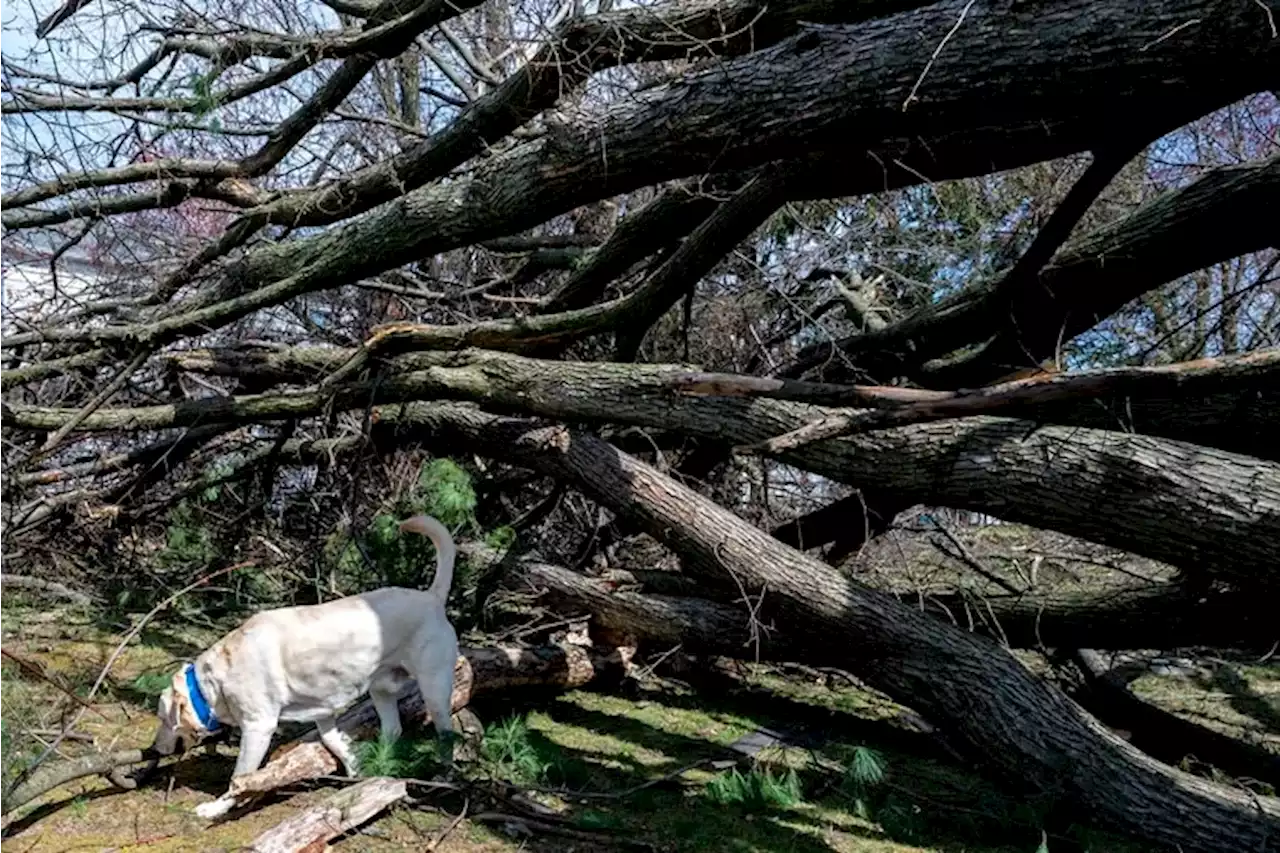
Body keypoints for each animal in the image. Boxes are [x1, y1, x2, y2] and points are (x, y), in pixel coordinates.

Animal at [152, 512, 460, 819]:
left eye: (163, 719)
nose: (155, 750)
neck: (214, 681)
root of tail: (432, 597)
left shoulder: (258, 728)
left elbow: (239, 778)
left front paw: (217, 807)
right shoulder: (322, 711)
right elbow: (335, 742)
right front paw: (356, 772)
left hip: (434, 689)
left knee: (446, 735)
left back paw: (444, 778)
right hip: (380, 690)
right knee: (393, 729)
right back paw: (381, 767)